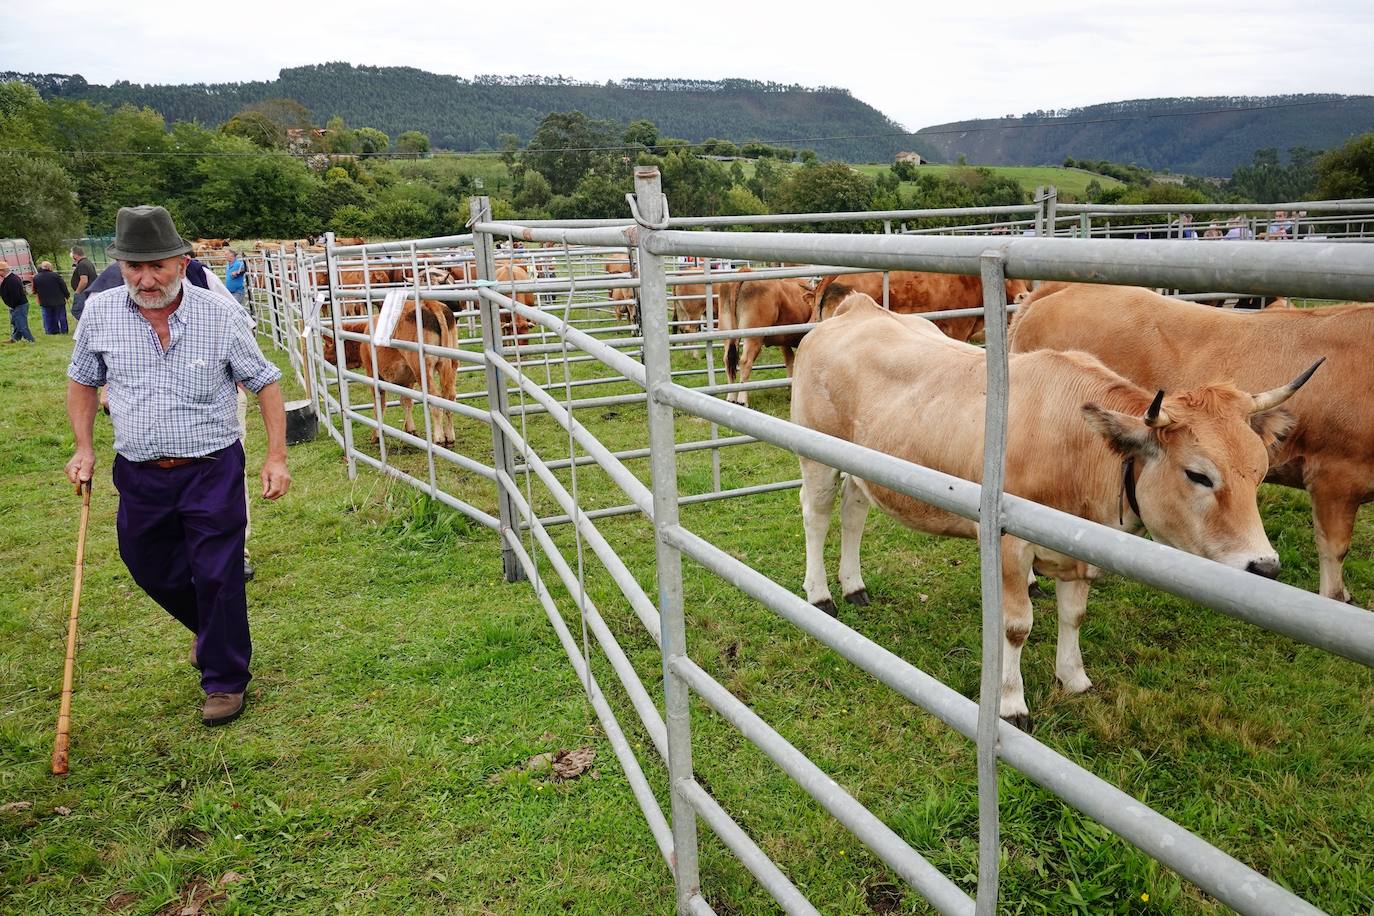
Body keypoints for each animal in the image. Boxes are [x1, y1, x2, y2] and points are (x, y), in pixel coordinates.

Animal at [320, 299, 456, 444]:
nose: (324, 355)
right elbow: (406, 401)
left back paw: (439, 437)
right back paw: (449, 435)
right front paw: (410, 429)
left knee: (435, 397)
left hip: (422, 369)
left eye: (327, 345)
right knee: (450, 396)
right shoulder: (407, 379)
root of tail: (429, 303)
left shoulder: (372, 372)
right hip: (451, 364)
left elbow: (379, 405)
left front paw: (376, 435)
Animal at [796, 293, 1319, 730]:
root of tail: (857, 307)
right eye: (1198, 475)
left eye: (1259, 471)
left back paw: (854, 585)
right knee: (817, 517)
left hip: (863, 465)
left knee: (854, 511)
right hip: (816, 455)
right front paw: (1011, 703)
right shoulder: (1009, 545)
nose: (1265, 566)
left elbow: (1074, 614)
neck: (1075, 446)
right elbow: (1016, 627)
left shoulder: (1079, 548)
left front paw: (1074, 678)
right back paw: (821, 594)